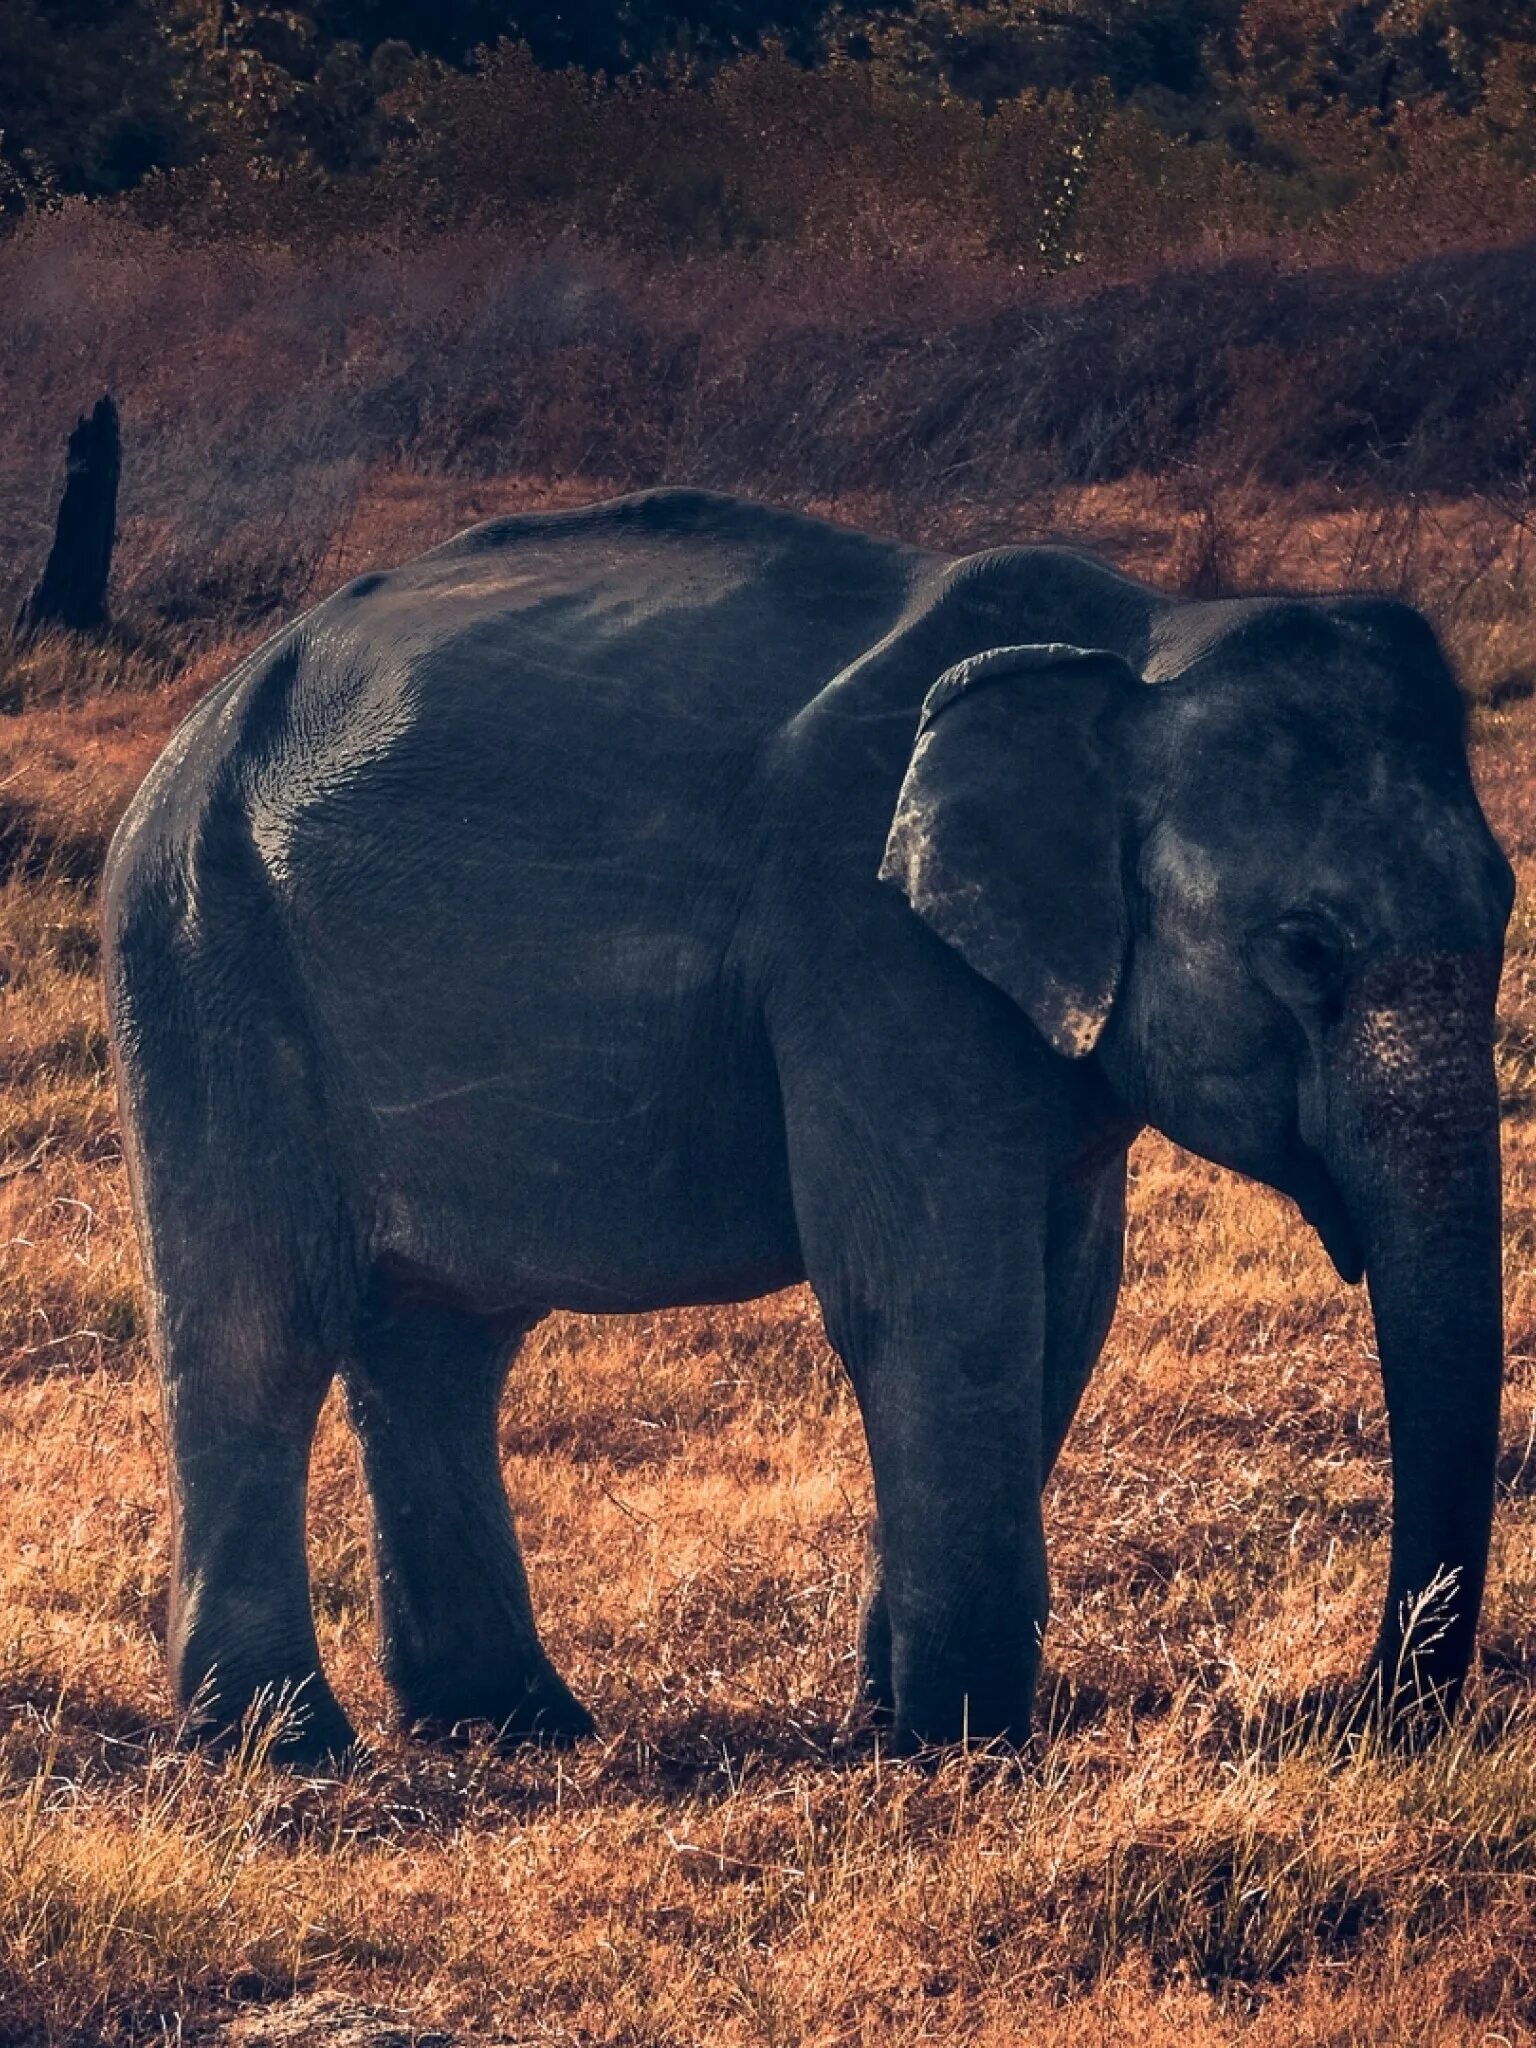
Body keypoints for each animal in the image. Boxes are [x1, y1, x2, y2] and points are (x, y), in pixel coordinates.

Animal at [105, 483, 1515, 1761]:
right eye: (1307, 948)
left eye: (1505, 904)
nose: (1362, 1709)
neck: (1138, 642)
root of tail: (195, 731)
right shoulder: (866, 947)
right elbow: (937, 1297)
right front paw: (959, 1745)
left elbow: (1066, 1300)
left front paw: (896, 1718)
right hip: (203, 955)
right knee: (258, 1325)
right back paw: (287, 1745)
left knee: (439, 1341)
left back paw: (510, 1723)